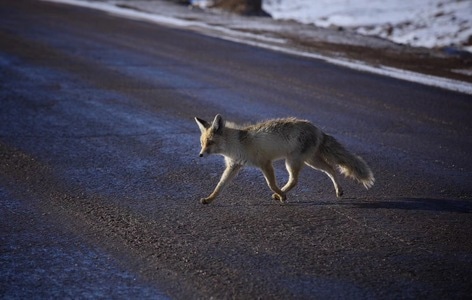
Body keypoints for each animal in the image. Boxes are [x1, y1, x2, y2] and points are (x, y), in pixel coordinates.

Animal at [194, 115, 374, 204]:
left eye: (210, 142)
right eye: (202, 143)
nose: (200, 155)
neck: (237, 144)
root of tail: (318, 129)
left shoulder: (265, 163)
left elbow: (271, 184)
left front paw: (281, 195)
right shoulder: (233, 166)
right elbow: (219, 186)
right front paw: (209, 199)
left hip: (293, 162)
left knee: (295, 181)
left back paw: (281, 195)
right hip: (310, 161)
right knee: (330, 169)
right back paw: (339, 190)